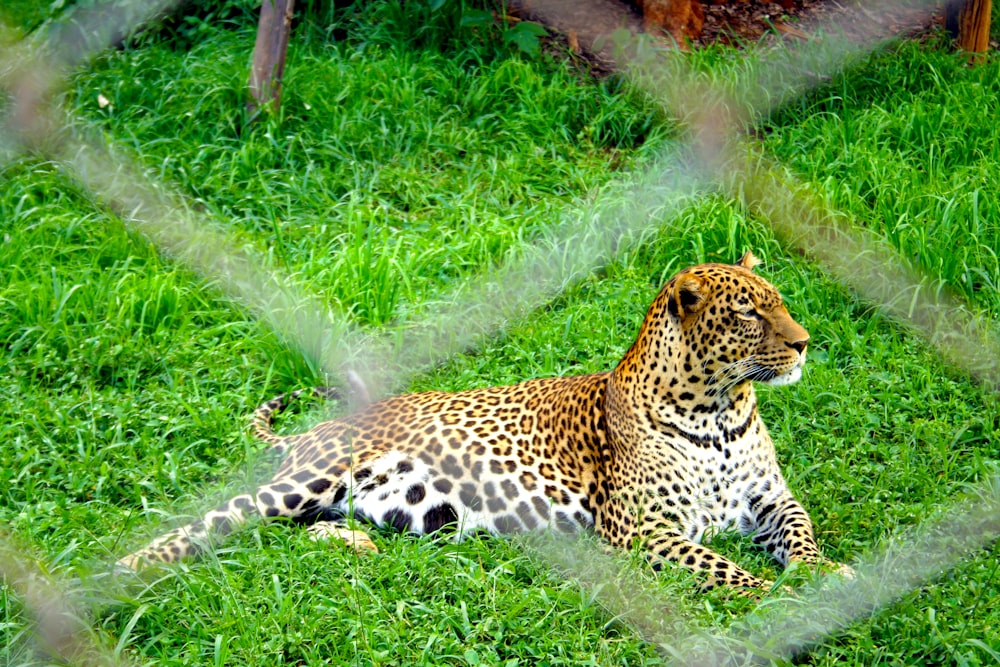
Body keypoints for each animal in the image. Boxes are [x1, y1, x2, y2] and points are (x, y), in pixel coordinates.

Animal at [119, 254, 852, 596]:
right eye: (750, 314)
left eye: (780, 303)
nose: (805, 343)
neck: (720, 410)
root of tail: (313, 431)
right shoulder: (645, 530)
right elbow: (727, 568)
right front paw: (783, 596)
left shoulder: (771, 498)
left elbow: (801, 533)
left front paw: (827, 573)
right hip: (307, 478)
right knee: (213, 523)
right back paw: (122, 570)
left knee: (291, 530)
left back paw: (353, 544)